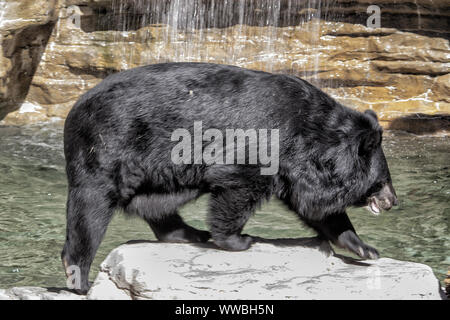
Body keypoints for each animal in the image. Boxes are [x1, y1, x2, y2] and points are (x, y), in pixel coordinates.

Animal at [62, 61, 398, 294]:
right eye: (382, 181)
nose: (392, 201)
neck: (313, 136)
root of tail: (74, 108)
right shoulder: (263, 143)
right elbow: (239, 185)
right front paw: (239, 240)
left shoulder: (300, 169)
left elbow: (316, 208)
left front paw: (364, 247)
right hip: (109, 146)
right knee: (91, 209)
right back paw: (79, 278)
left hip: (158, 168)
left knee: (152, 204)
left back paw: (187, 233)